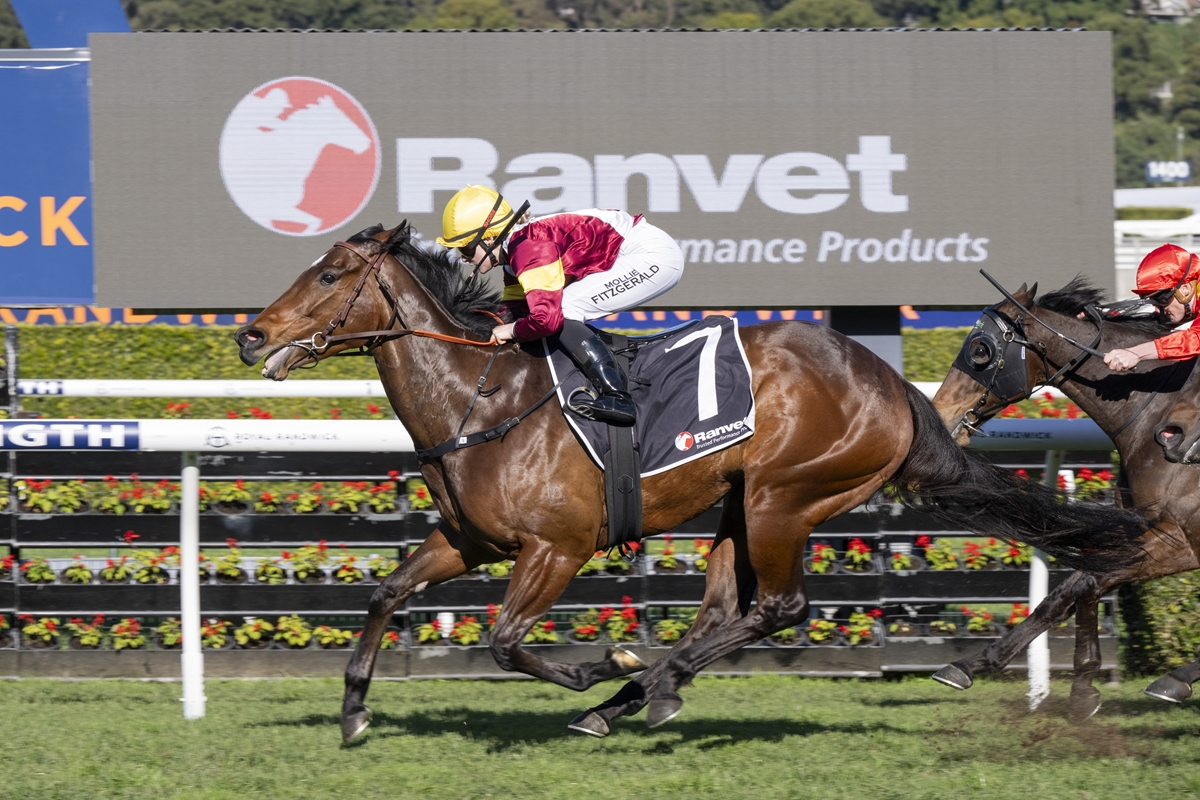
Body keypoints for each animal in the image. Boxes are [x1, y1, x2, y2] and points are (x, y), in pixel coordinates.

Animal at [233, 224, 1149, 742]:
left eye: (327, 275)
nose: (250, 335)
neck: (479, 397)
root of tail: (893, 387)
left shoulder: (555, 548)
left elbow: (504, 640)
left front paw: (597, 664)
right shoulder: (468, 540)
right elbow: (386, 592)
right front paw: (354, 712)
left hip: (786, 496)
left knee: (779, 607)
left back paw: (643, 686)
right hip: (742, 503)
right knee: (725, 610)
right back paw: (638, 695)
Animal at [929, 277, 1199, 719]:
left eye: (980, 351)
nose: (939, 414)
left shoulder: (1181, 543)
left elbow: (1087, 582)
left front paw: (1089, 685)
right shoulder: (1142, 531)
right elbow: (1064, 593)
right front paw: (970, 664)